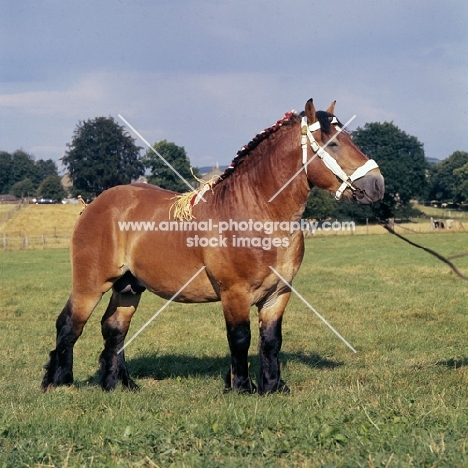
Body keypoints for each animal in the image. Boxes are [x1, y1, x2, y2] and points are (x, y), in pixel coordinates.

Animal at [41, 98, 384, 394]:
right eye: (332, 143)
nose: (377, 184)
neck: (255, 213)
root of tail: (93, 205)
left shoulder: (278, 294)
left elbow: (271, 340)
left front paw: (273, 387)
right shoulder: (235, 293)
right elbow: (240, 338)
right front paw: (242, 387)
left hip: (128, 287)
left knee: (113, 329)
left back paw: (118, 384)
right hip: (90, 285)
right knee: (69, 325)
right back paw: (59, 382)